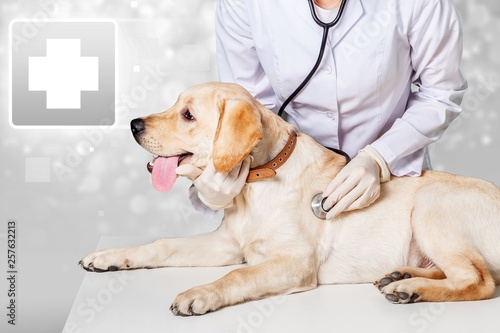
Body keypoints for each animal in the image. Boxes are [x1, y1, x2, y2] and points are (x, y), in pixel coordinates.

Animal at [80, 82, 500, 314]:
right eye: (174, 105)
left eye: (188, 115)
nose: (133, 124)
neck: (256, 184)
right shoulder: (228, 243)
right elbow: (163, 244)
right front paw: (109, 256)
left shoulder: (295, 262)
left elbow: (238, 275)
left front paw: (201, 293)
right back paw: (401, 276)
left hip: (431, 204)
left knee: (479, 281)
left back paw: (410, 289)